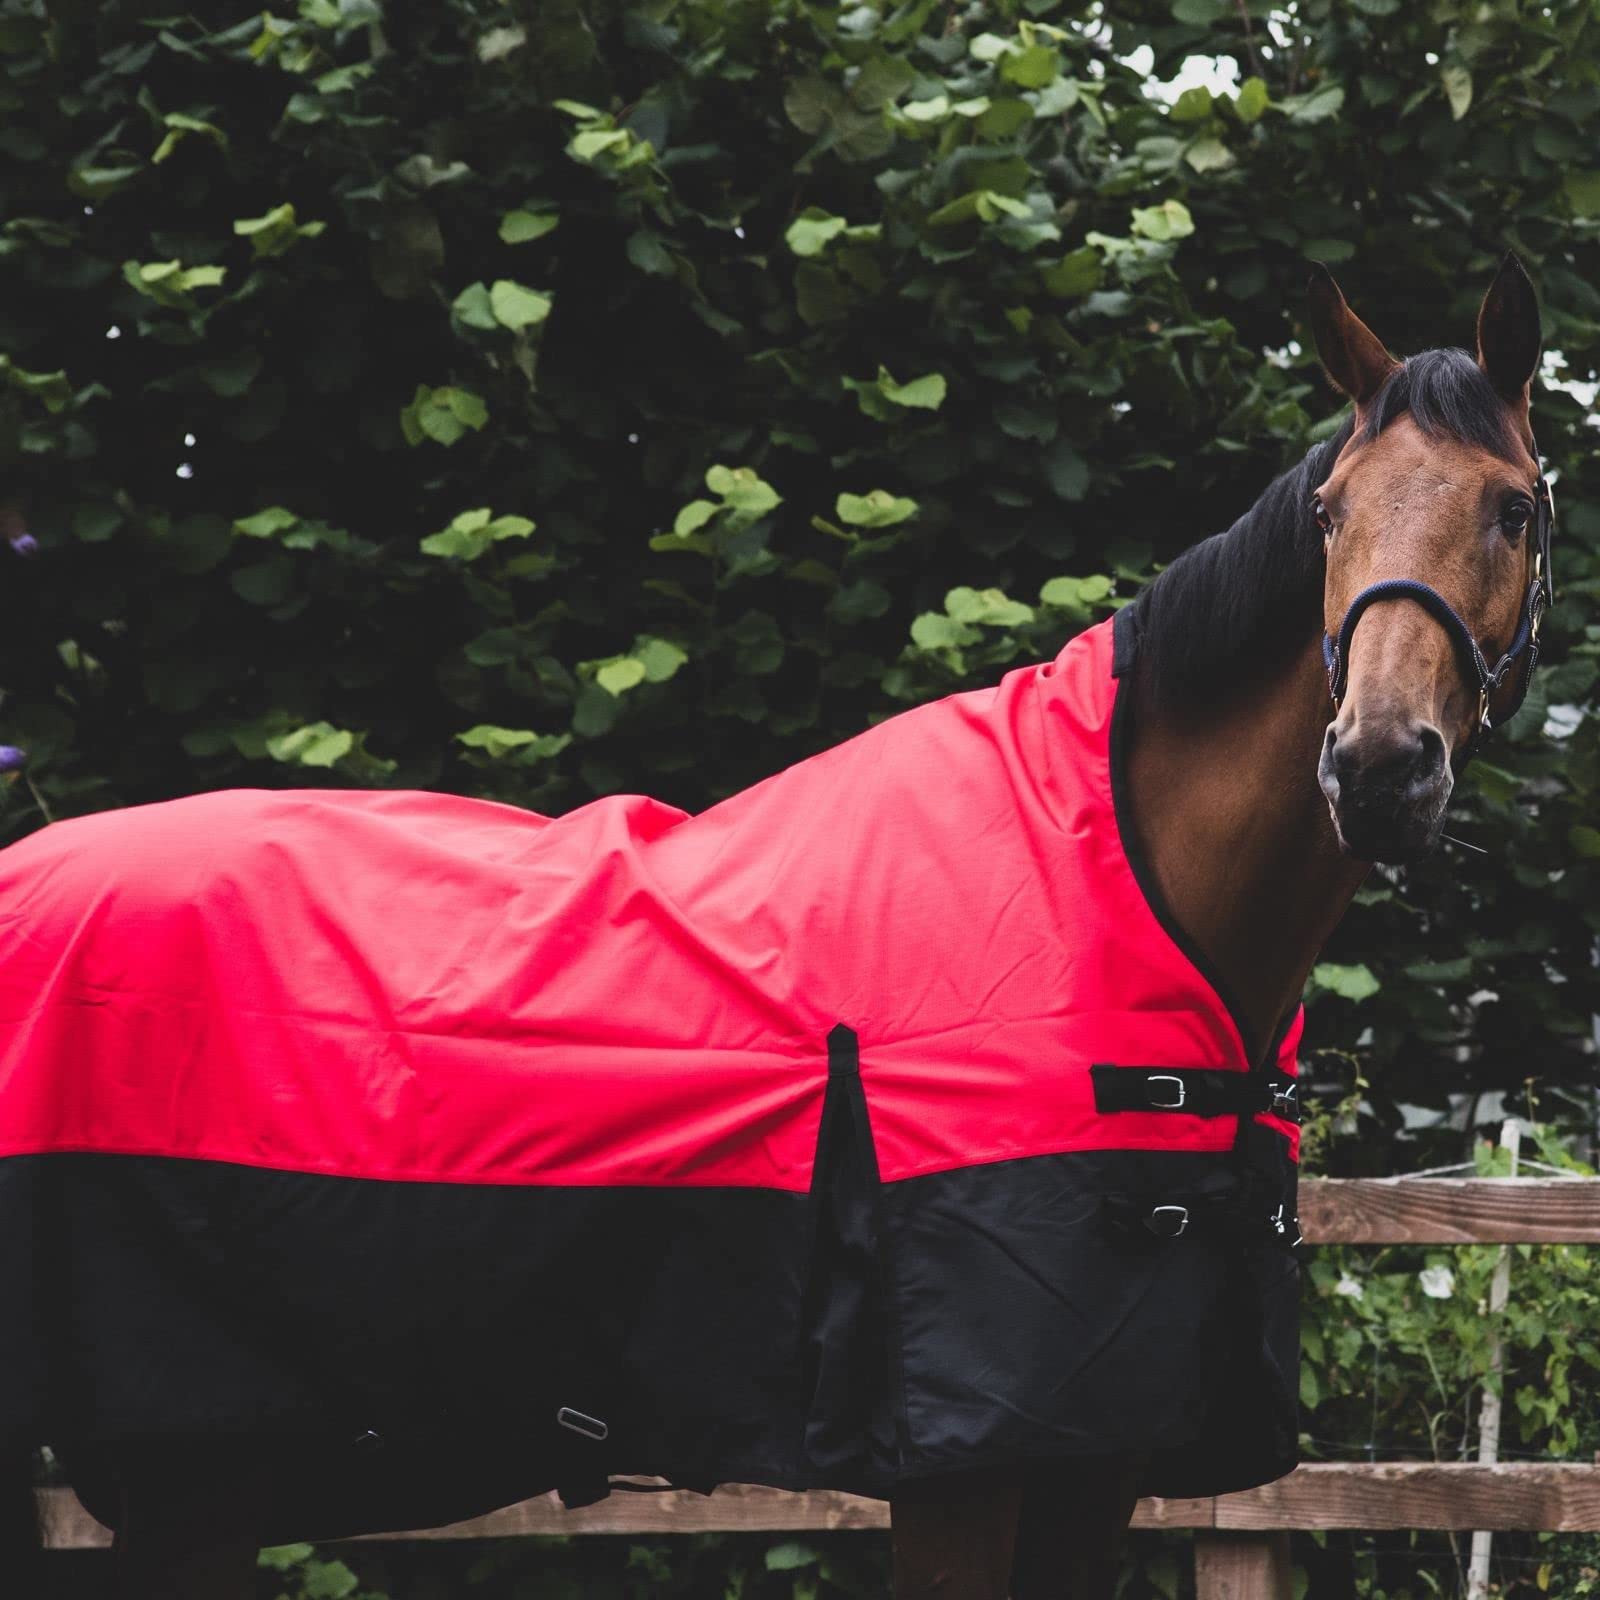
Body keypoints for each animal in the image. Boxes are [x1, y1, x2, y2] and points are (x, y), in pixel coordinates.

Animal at [0, 255, 1552, 1600]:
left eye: (1514, 508)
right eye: (1328, 512)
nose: (1378, 766)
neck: (1119, 875)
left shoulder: (1095, 1459)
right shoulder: (962, 1468)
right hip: (197, 1464)